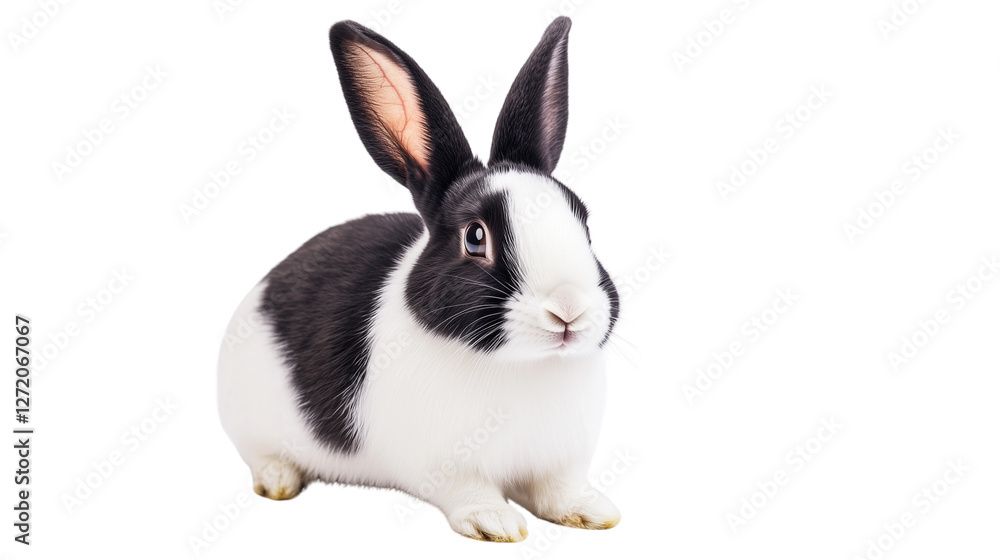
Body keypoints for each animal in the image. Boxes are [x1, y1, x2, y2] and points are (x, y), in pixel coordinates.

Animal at [217, 16, 621, 542]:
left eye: (585, 224)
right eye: (475, 237)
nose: (569, 309)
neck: (523, 366)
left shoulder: (560, 460)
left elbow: (560, 490)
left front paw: (593, 512)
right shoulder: (447, 465)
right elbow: (469, 491)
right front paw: (495, 523)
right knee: (260, 454)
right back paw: (278, 480)